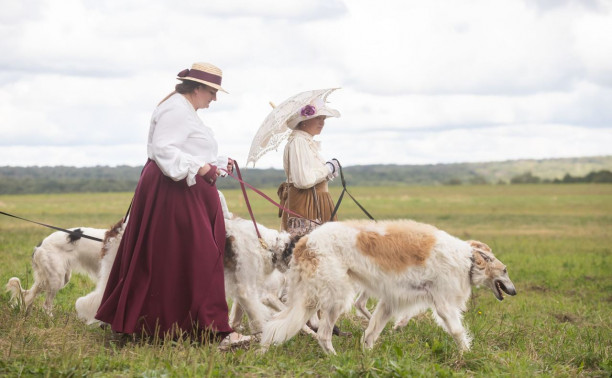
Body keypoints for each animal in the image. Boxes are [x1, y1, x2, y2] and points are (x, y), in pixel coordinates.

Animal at [262, 219, 516, 354]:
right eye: (505, 271)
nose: (514, 291)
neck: (467, 260)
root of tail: (305, 241)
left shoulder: (391, 301)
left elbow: (371, 332)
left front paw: (367, 354)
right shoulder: (443, 303)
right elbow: (456, 330)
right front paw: (467, 354)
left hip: (311, 297)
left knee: (279, 323)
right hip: (334, 297)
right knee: (323, 335)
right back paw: (334, 358)